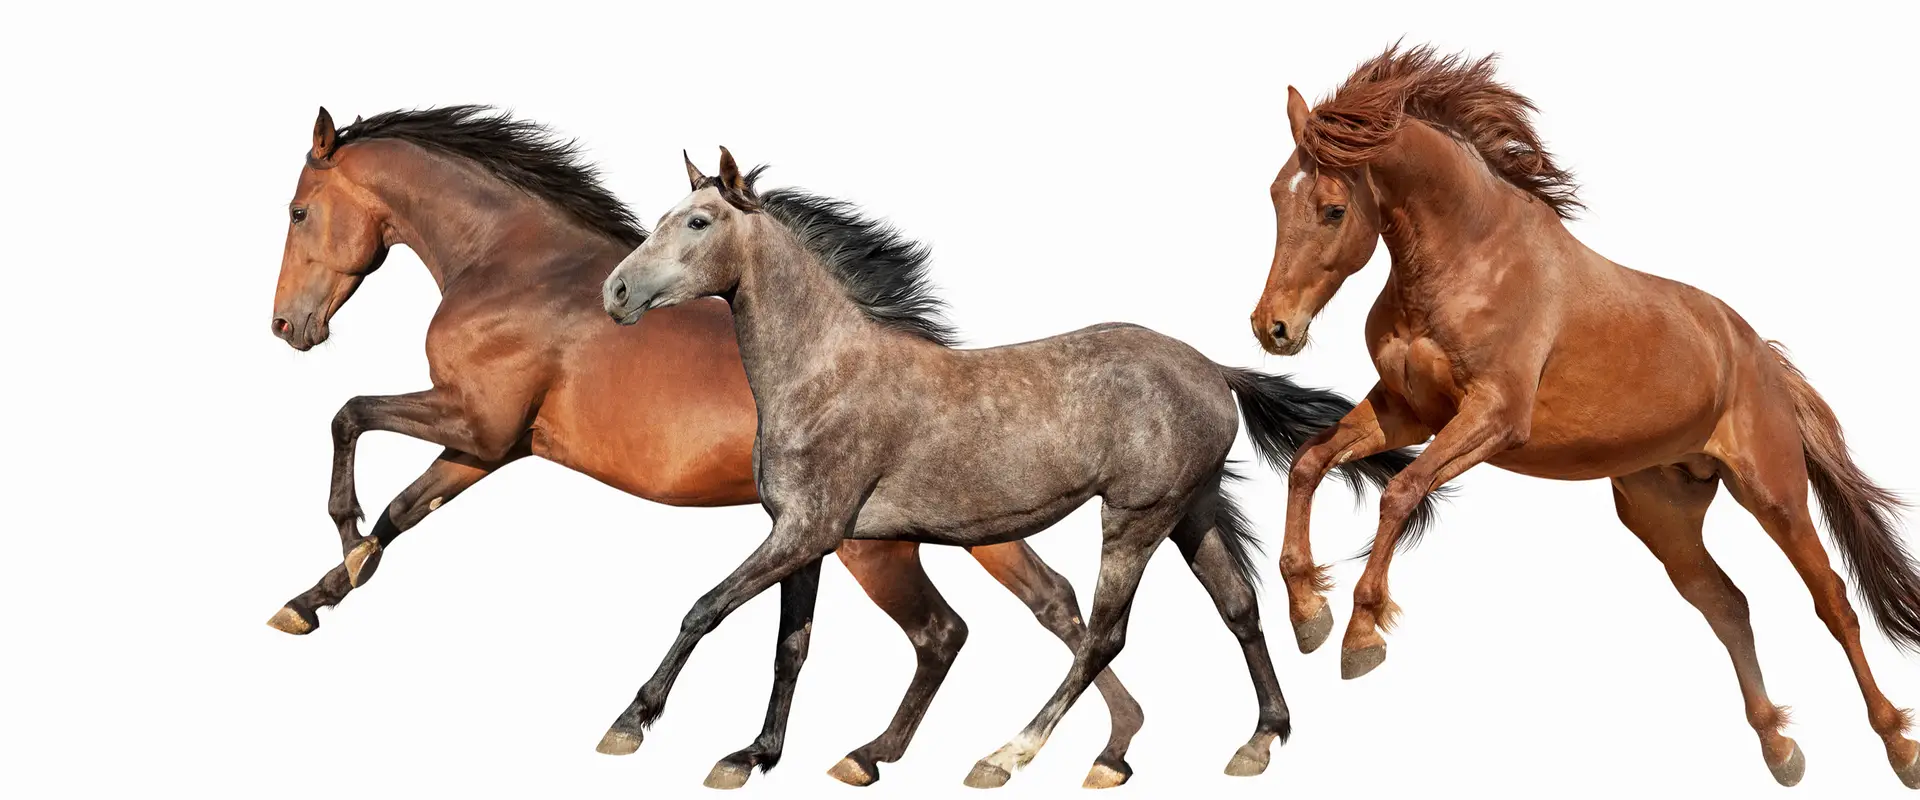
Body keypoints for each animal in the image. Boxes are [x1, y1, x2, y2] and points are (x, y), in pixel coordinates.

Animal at [268, 106, 1155, 788]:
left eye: (297, 211)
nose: (286, 326)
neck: (517, 266)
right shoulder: (487, 446)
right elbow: (402, 508)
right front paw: (317, 595)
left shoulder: (475, 423)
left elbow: (349, 418)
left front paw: (343, 546)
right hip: (962, 535)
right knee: (1055, 604)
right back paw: (1106, 748)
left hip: (875, 549)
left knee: (955, 630)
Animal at [595, 149, 1438, 788]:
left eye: (697, 221)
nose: (617, 291)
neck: (823, 372)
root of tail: (1211, 369)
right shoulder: (807, 537)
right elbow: (790, 646)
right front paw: (750, 756)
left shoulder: (809, 530)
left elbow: (705, 608)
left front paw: (630, 724)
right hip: (1189, 512)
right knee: (1238, 608)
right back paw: (1258, 741)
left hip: (1134, 519)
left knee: (1103, 635)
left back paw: (1007, 755)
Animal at [1248, 45, 1920, 788]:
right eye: (1276, 196)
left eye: (1333, 209)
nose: (1273, 328)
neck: (1471, 259)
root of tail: (1759, 355)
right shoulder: (1407, 413)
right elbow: (1309, 462)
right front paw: (1308, 610)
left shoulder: (1492, 417)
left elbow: (1401, 491)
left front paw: (1360, 633)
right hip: (1663, 512)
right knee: (1727, 604)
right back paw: (1779, 746)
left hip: (1774, 495)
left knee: (1833, 602)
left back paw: (1900, 746)